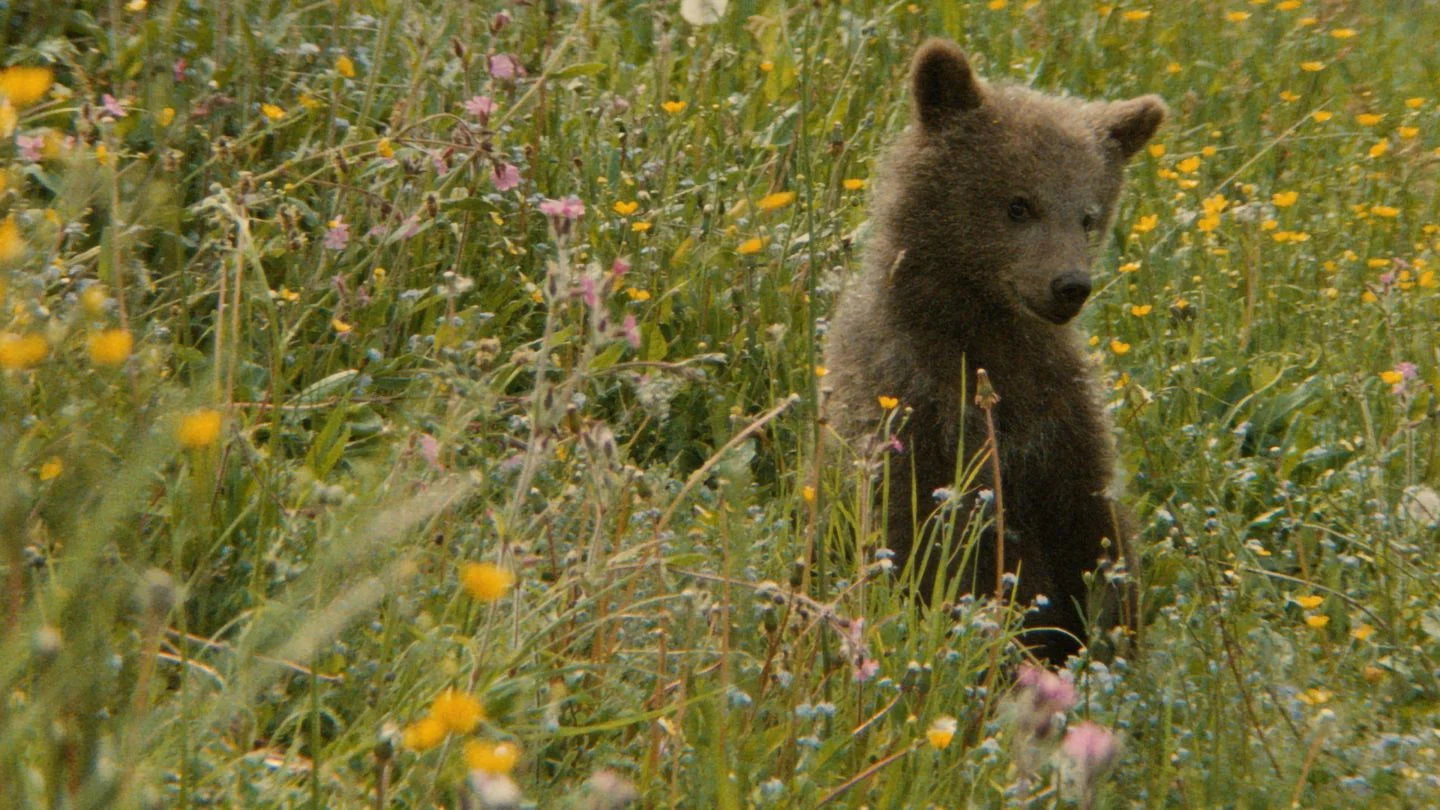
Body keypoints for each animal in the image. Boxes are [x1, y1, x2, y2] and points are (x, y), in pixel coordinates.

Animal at [822, 38, 1165, 663]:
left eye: (1088, 215)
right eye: (1018, 204)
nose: (1070, 285)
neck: (982, 331)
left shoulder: (1061, 423)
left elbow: (1097, 533)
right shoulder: (909, 408)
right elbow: (927, 541)